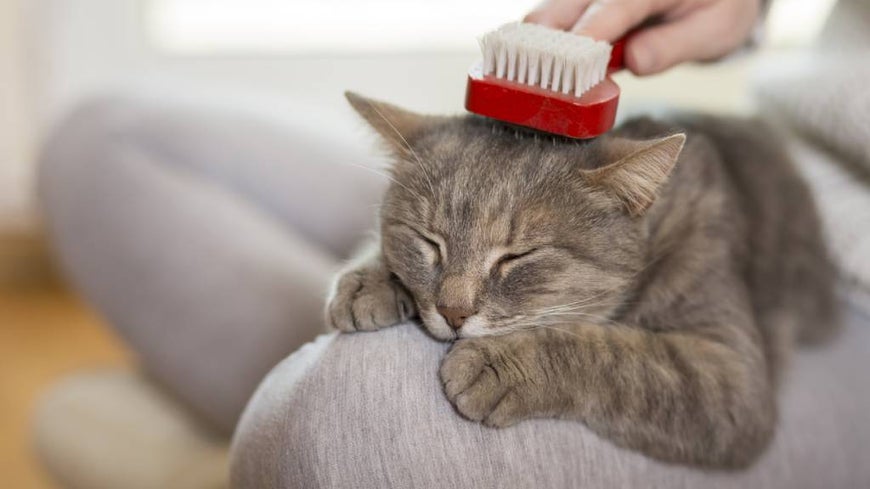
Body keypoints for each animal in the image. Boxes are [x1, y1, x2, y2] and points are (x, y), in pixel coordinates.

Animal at [324, 92, 840, 468]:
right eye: (429, 241)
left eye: (517, 256)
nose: (453, 312)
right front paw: (369, 279)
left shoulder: (729, 377)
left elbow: (614, 354)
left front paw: (501, 365)